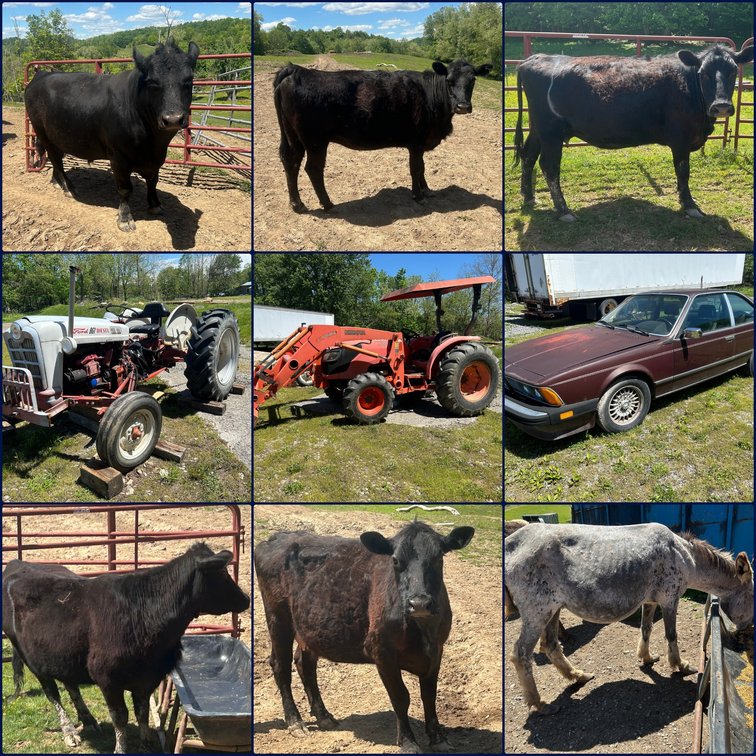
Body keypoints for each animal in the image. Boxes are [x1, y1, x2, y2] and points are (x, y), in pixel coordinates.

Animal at [2, 543, 250, 753]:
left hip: (62, 656)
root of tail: (17, 563)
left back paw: (88, 719)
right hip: (32, 661)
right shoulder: (108, 679)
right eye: (221, 574)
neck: (145, 612)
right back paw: (70, 731)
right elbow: (121, 716)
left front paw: (147, 742)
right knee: (53, 694)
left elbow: (142, 711)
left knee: (71, 685)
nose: (246, 599)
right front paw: (121, 748)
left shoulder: (148, 677)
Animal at [24, 37, 199, 232]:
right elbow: (125, 189)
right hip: (41, 131)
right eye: (152, 82)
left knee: (55, 158)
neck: (153, 143)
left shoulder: (156, 159)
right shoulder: (118, 158)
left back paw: (56, 182)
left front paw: (155, 205)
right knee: (56, 159)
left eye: (189, 80)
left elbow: (153, 181)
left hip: (57, 135)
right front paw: (125, 218)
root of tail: (41, 75)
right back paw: (68, 187)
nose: (173, 119)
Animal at [254, 521, 475, 753]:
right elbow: (401, 697)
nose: (419, 603)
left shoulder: (437, 650)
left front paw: (438, 738)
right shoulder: (382, 651)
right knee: (281, 667)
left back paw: (324, 716)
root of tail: (276, 538)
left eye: (439, 558)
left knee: (305, 664)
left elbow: (429, 695)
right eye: (395, 560)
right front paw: (408, 742)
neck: (423, 628)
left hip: (308, 629)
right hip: (278, 619)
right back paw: (295, 721)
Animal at [273, 60, 492, 213]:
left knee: (291, 162)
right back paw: (328, 204)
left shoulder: (420, 144)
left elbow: (422, 168)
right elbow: (416, 168)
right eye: (449, 81)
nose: (463, 106)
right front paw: (418, 195)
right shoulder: (416, 142)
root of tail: (297, 69)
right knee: (313, 169)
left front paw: (427, 190)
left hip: (293, 137)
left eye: (473, 80)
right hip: (315, 141)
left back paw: (297, 204)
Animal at [514, 44, 754, 221]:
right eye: (703, 73)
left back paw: (529, 197)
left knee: (528, 156)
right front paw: (689, 205)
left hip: (538, 129)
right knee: (549, 166)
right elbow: (683, 171)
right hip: (551, 132)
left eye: (734, 71)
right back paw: (564, 210)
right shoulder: (680, 139)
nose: (721, 106)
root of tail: (532, 59)